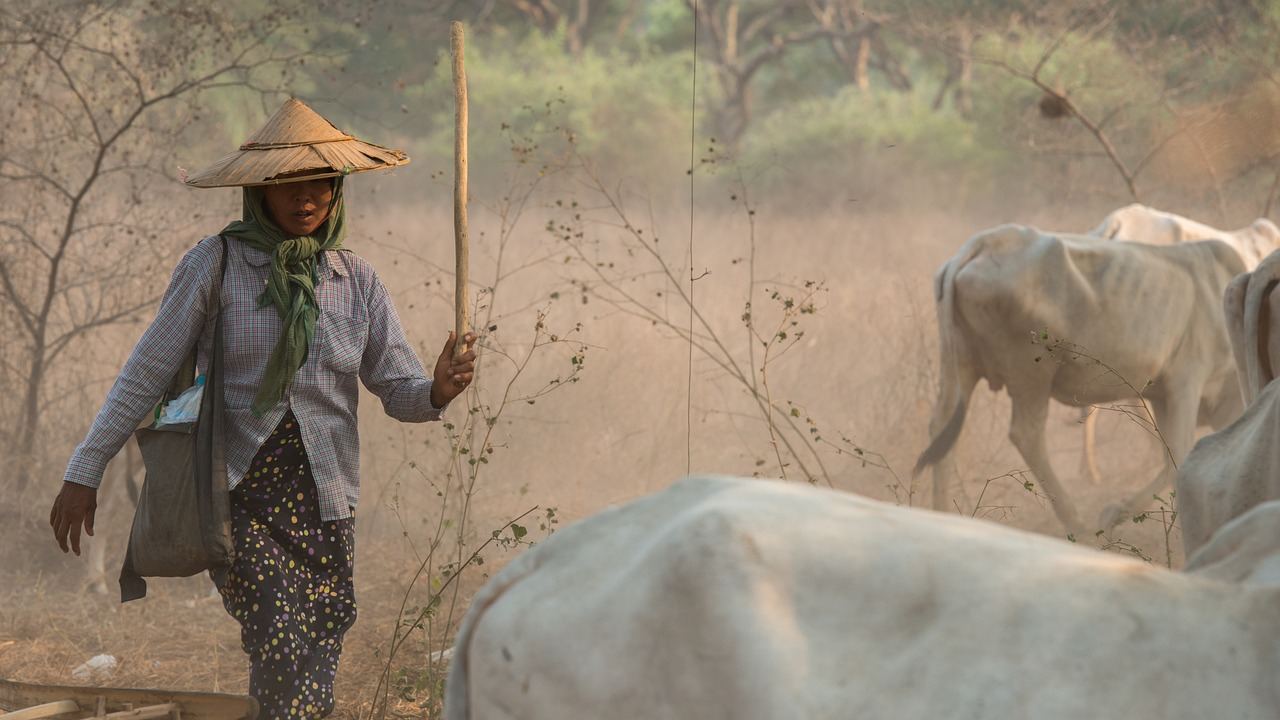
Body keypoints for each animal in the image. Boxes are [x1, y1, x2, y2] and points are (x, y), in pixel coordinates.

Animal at [916, 224, 1244, 532]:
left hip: (959, 365)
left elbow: (1170, 456)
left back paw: (940, 512)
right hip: (1030, 371)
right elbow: (1180, 452)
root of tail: (986, 242)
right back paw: (1077, 523)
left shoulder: (1163, 395)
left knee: (942, 428)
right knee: (1027, 434)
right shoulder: (1185, 381)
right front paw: (1114, 513)